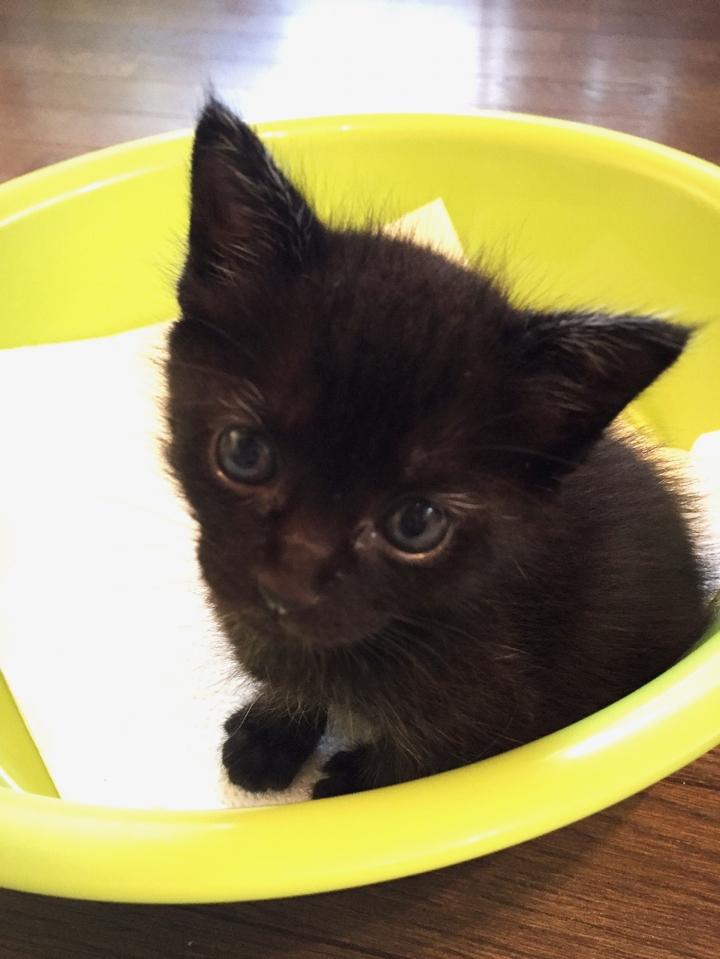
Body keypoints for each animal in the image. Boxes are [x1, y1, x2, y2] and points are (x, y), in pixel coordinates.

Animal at [165, 98, 711, 798]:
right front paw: (271, 729)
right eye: (244, 453)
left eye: (417, 523)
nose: (287, 586)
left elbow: (425, 762)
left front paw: (352, 788)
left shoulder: (500, 714)